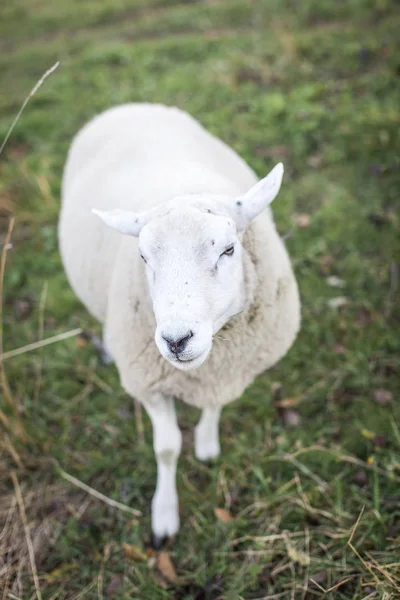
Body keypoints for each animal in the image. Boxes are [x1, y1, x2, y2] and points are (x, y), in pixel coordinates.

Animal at [58, 103, 300, 544]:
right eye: (142, 257)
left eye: (229, 249)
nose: (175, 340)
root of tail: (131, 105)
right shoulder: (149, 384)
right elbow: (167, 449)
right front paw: (165, 515)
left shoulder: (228, 367)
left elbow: (215, 406)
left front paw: (206, 445)